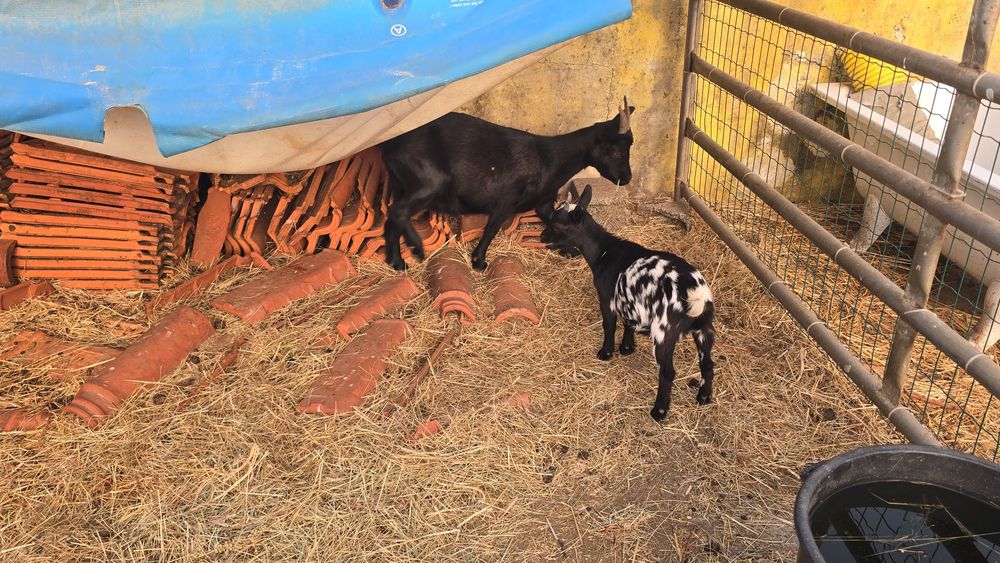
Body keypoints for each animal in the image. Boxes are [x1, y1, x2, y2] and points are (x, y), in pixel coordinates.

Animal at [379, 98, 635, 271]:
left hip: (398, 183)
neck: (550, 159)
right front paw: (479, 261)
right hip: (428, 183)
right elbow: (492, 227)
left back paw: (396, 261)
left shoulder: (543, 201)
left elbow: (551, 217)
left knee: (391, 216)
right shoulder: (506, 199)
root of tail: (390, 145)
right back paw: (415, 247)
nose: (627, 178)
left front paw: (568, 247)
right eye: (616, 151)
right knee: (398, 211)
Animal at [539, 184, 716, 421]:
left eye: (557, 225)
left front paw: (606, 353)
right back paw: (704, 397)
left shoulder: (606, 297)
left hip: (664, 332)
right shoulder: (630, 301)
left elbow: (609, 325)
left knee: (667, 372)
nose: (541, 237)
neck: (603, 250)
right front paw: (627, 347)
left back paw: (659, 411)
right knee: (707, 364)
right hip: (704, 328)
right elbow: (628, 322)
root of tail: (695, 293)